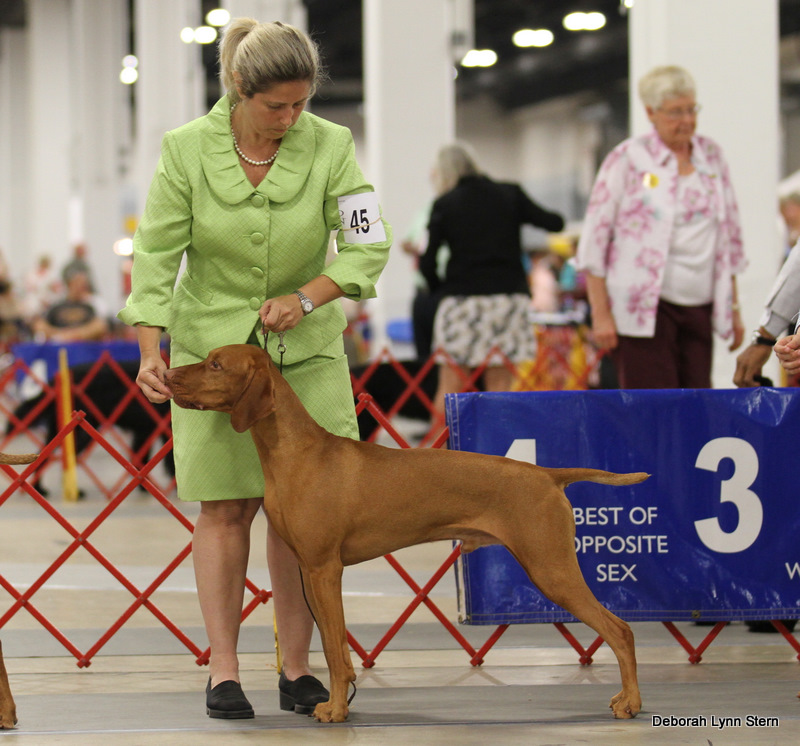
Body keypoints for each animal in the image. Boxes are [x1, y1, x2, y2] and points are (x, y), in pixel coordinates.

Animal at [165, 344, 648, 723]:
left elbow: (335, 650)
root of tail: (548, 475)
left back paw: (631, 703)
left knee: (620, 629)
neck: (296, 451)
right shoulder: (307, 569)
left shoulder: (324, 569)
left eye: (215, 364)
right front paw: (338, 702)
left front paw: (336, 710)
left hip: (551, 567)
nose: (167, 376)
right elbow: (334, 646)